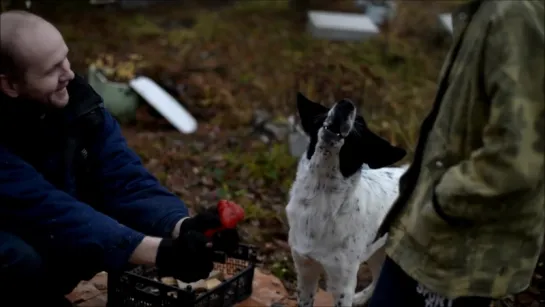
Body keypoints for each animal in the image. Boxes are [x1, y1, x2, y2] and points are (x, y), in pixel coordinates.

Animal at [284, 94, 408, 307]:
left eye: (361, 123)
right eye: (327, 109)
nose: (346, 103)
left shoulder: (342, 283)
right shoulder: (305, 269)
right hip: (378, 250)